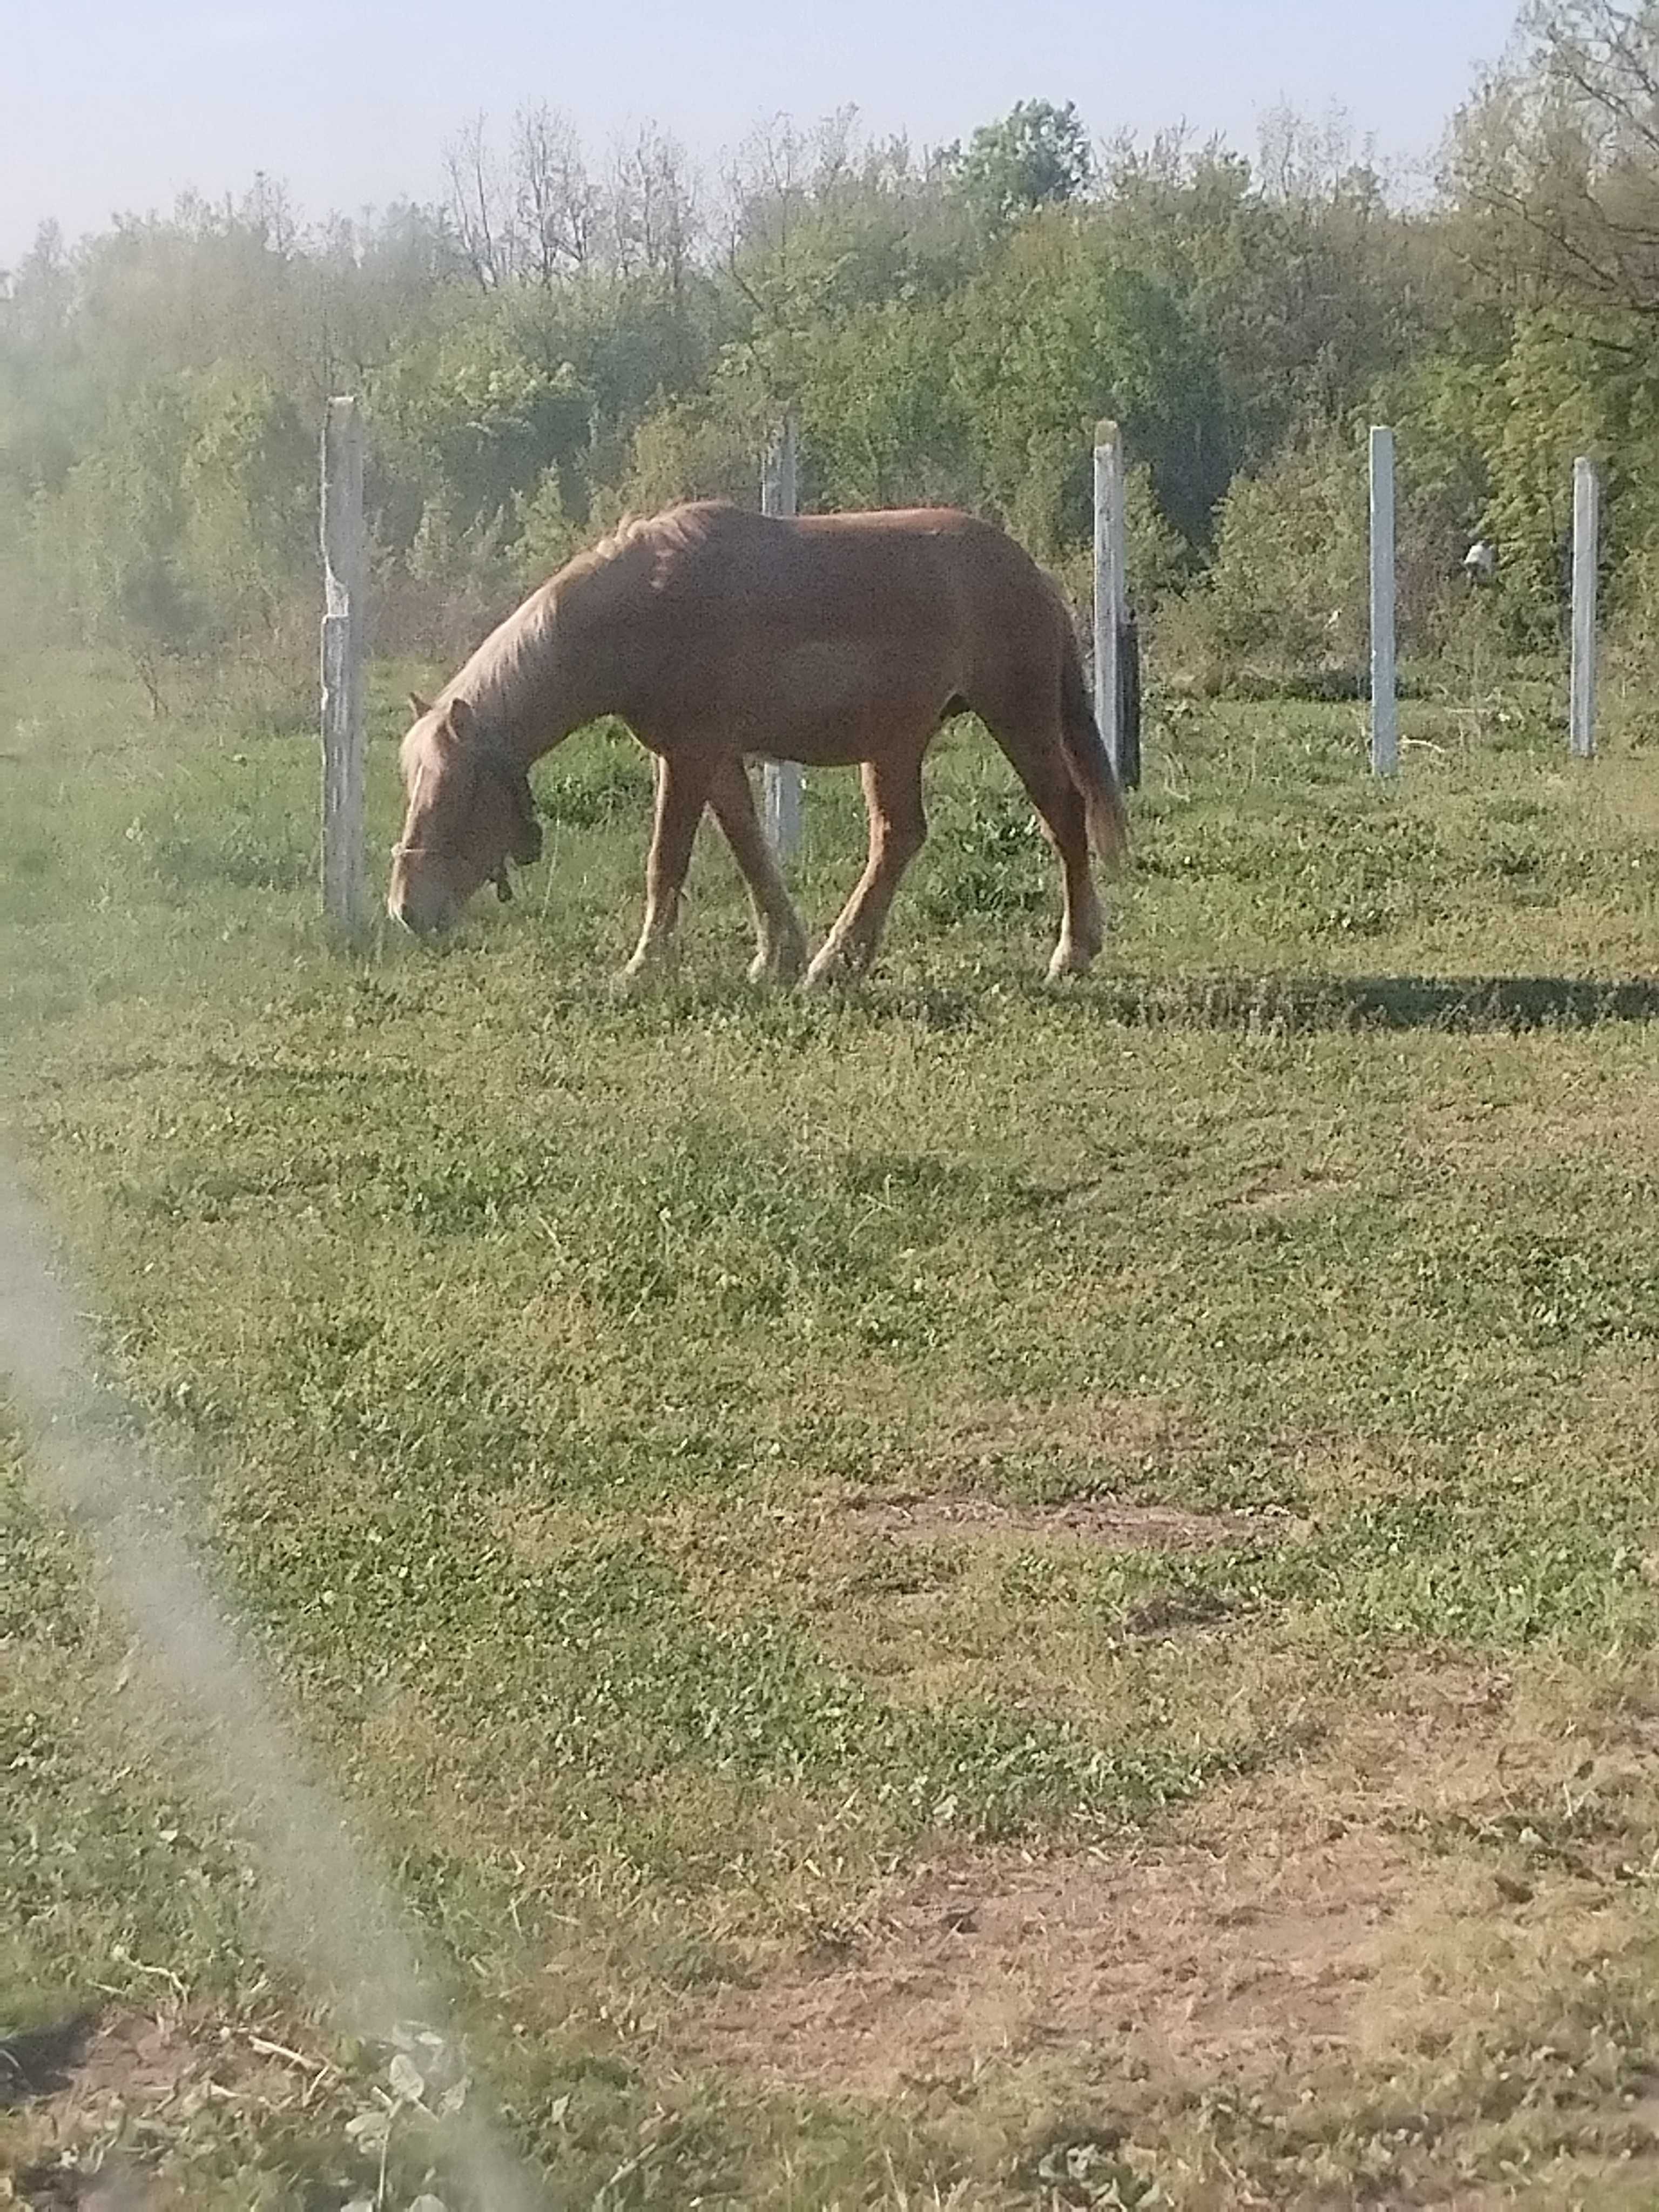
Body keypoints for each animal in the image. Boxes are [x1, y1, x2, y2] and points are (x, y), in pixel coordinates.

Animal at [389, 506, 1132, 991]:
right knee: (898, 836)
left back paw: (1072, 952)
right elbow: (750, 851)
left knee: (1062, 817)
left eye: (453, 794)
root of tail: (1026, 571)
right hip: (896, 741)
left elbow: (668, 861)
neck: (644, 610)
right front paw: (776, 956)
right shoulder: (714, 757)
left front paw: (644, 967)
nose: (407, 910)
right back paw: (837, 962)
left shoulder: (688, 755)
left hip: (1017, 718)